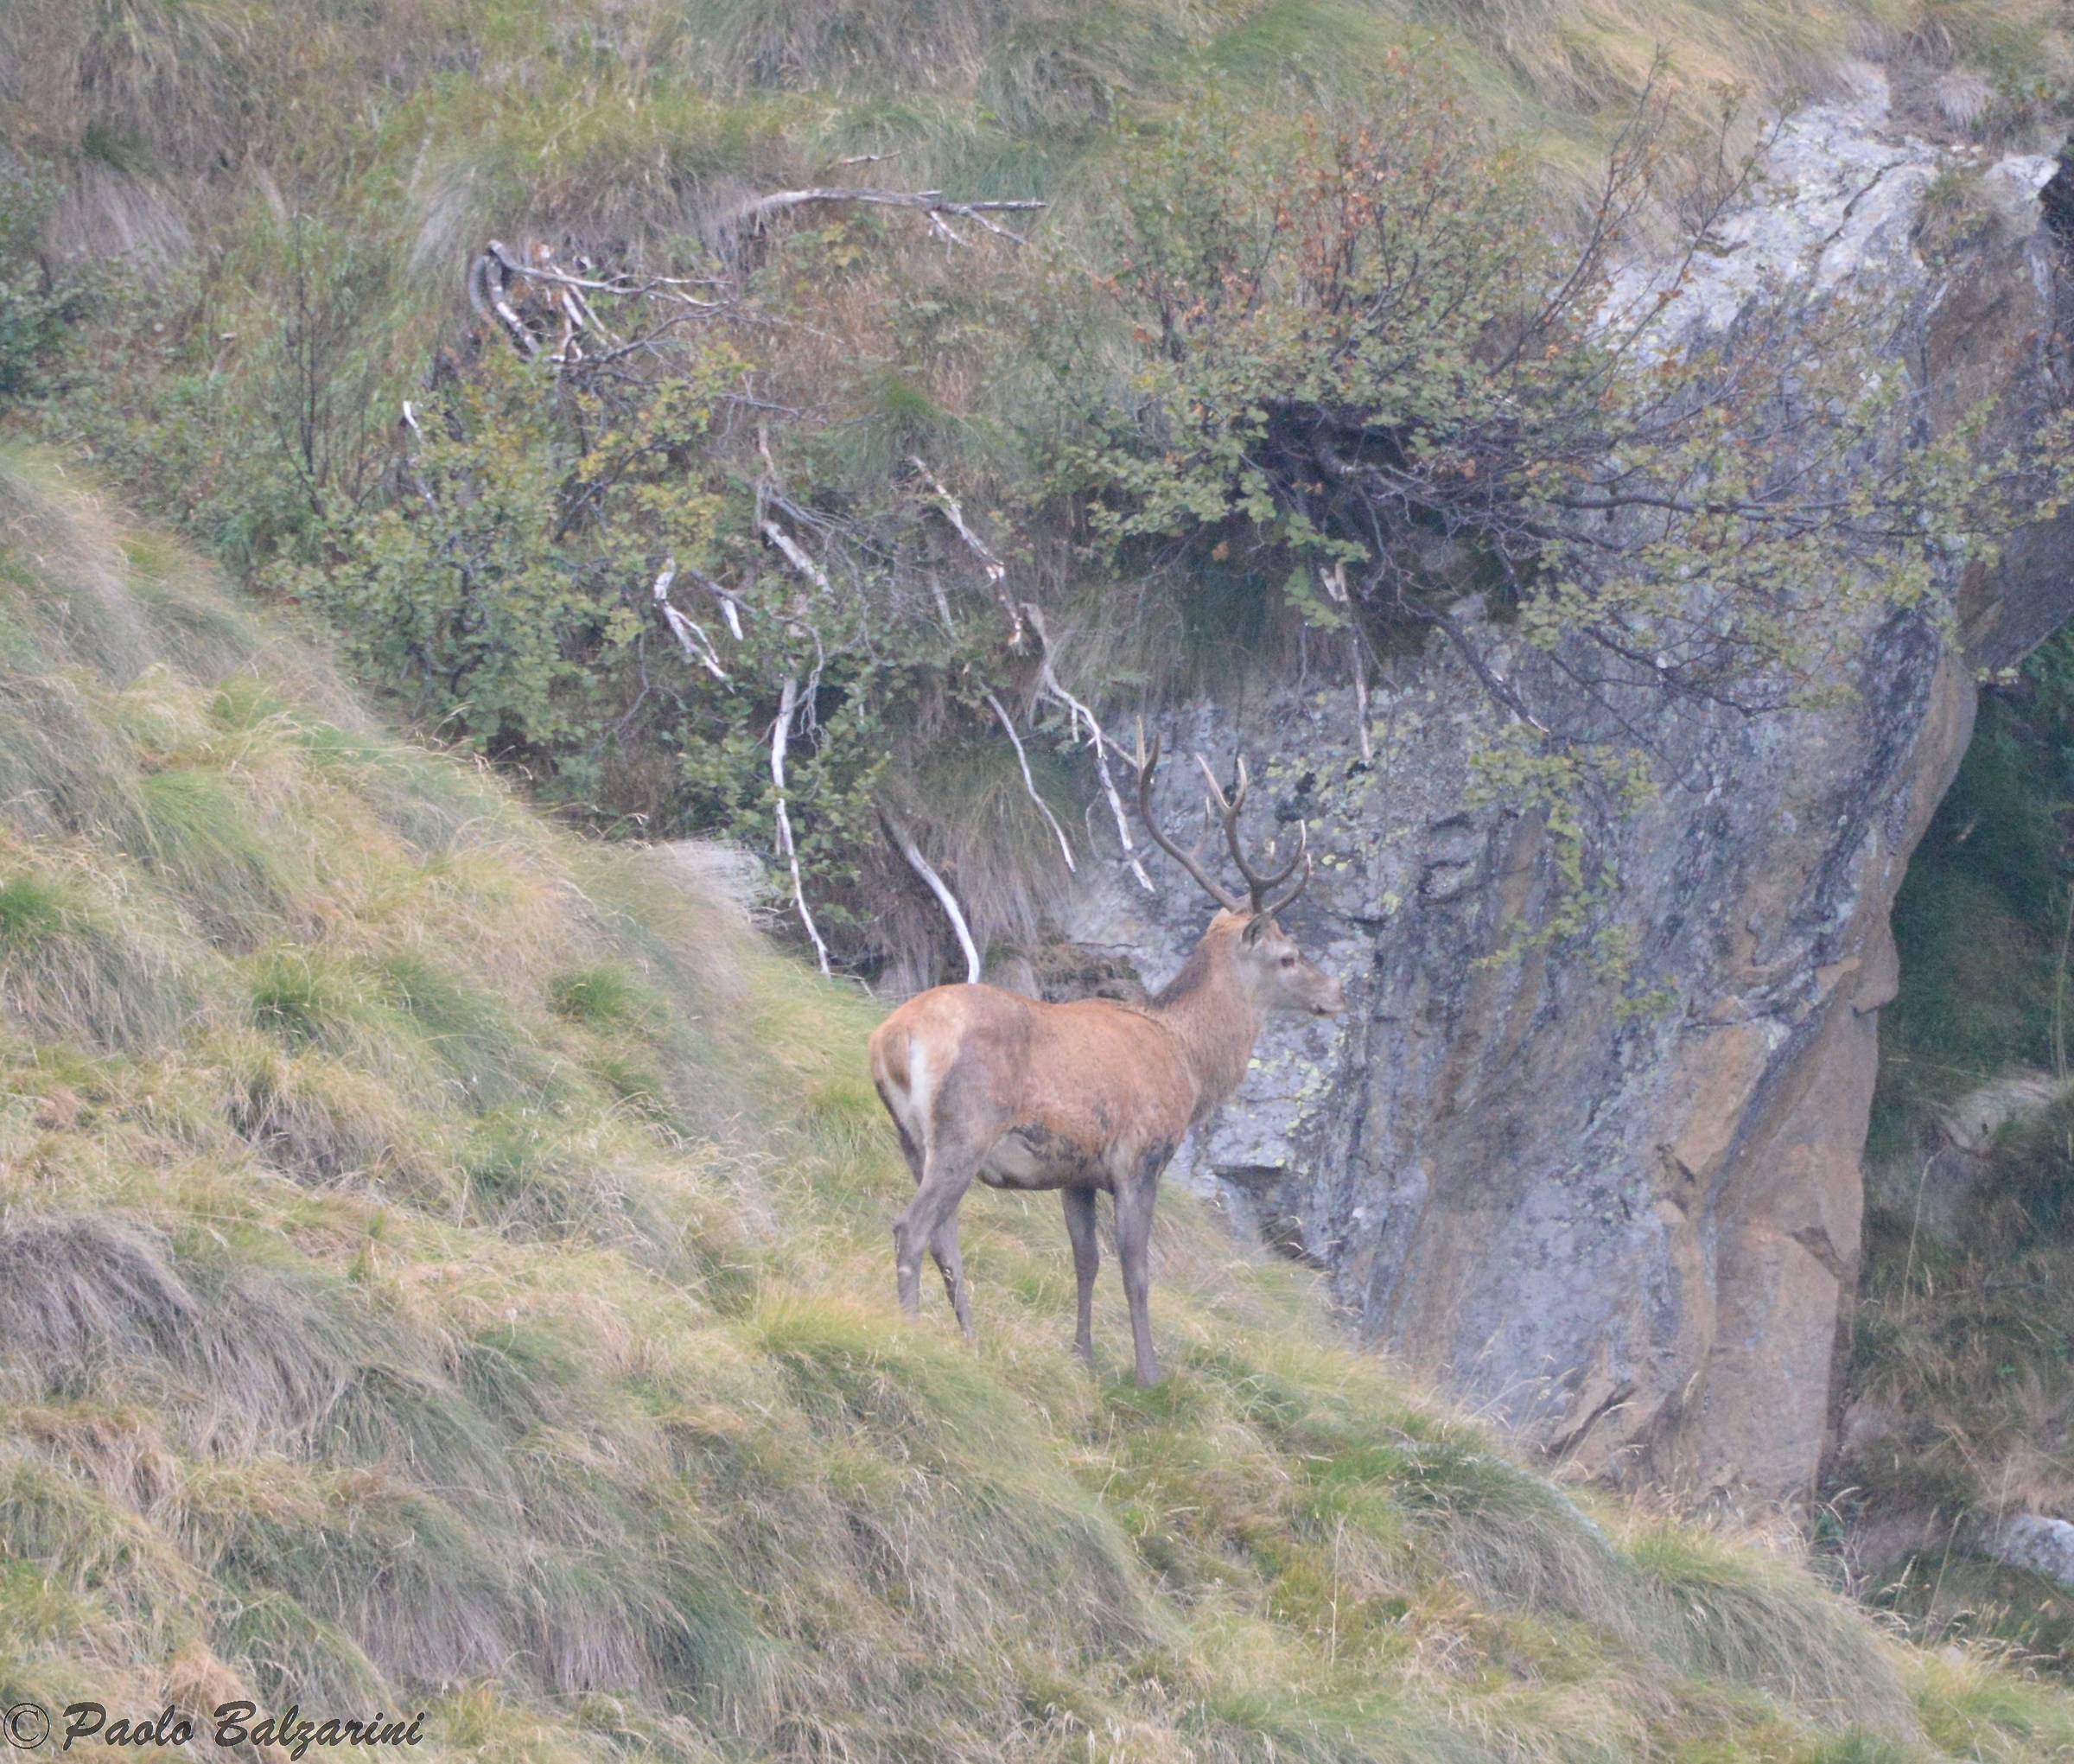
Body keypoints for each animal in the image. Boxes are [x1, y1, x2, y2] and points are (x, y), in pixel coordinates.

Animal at [868, 737, 1347, 1385]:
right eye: (1290, 955)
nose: (1338, 992)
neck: (1189, 1064)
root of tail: (892, 1039)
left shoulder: (1078, 1174)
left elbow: (1085, 1261)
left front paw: (1084, 1357)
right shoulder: (1141, 1156)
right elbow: (1137, 1271)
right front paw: (1149, 1375)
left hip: (912, 1138)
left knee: (945, 1237)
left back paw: (969, 1339)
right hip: (966, 1126)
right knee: (912, 1227)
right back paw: (913, 1332)